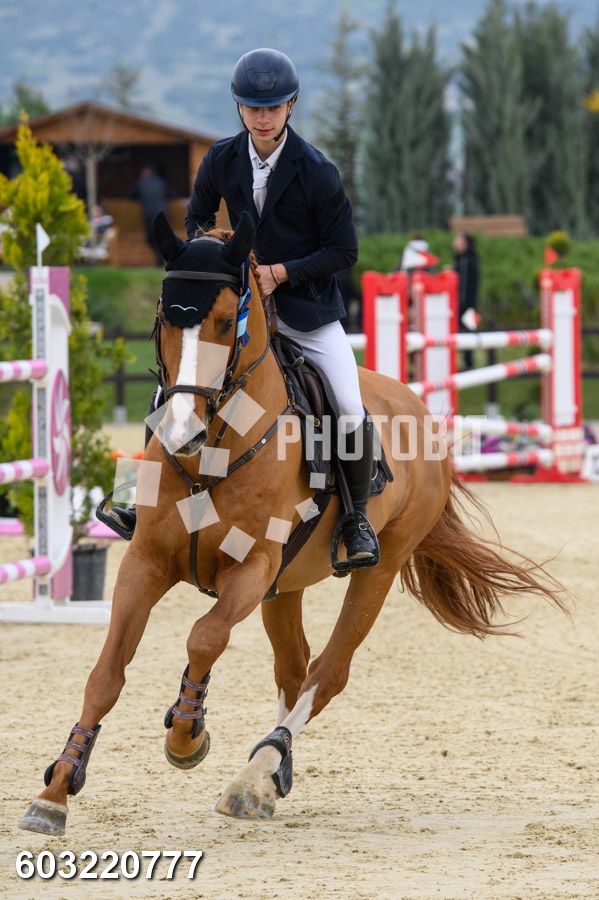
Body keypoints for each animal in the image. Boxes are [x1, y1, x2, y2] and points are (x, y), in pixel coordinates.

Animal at [20, 211, 567, 835]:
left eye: (224, 321)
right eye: (163, 317)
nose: (182, 433)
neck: (215, 451)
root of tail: (419, 408)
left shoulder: (253, 568)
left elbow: (204, 637)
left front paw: (187, 737)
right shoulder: (146, 562)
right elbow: (106, 673)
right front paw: (56, 791)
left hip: (375, 568)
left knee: (327, 671)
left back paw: (255, 774)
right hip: (285, 587)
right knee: (294, 667)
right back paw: (265, 775)